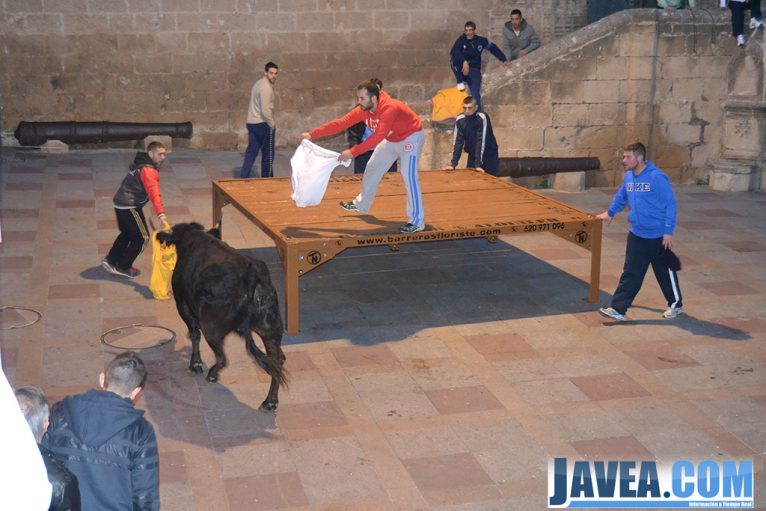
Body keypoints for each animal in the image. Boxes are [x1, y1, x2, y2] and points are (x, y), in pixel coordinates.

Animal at [157, 223, 288, 412]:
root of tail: (252, 274)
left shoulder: (183, 305)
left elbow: (194, 334)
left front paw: (195, 363)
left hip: (210, 327)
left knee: (222, 357)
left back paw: (211, 374)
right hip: (270, 329)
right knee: (276, 361)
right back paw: (270, 401)